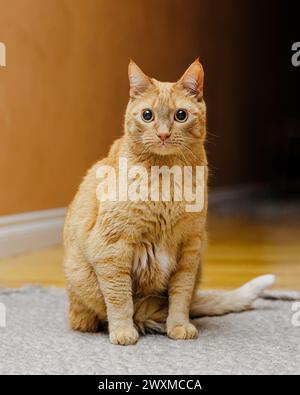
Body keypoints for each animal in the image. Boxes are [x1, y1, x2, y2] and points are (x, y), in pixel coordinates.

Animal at [64, 59, 276, 346]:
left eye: (181, 116)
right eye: (147, 115)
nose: (163, 134)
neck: (165, 178)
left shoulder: (189, 249)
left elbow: (181, 297)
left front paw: (178, 326)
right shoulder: (112, 247)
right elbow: (119, 298)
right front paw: (122, 332)